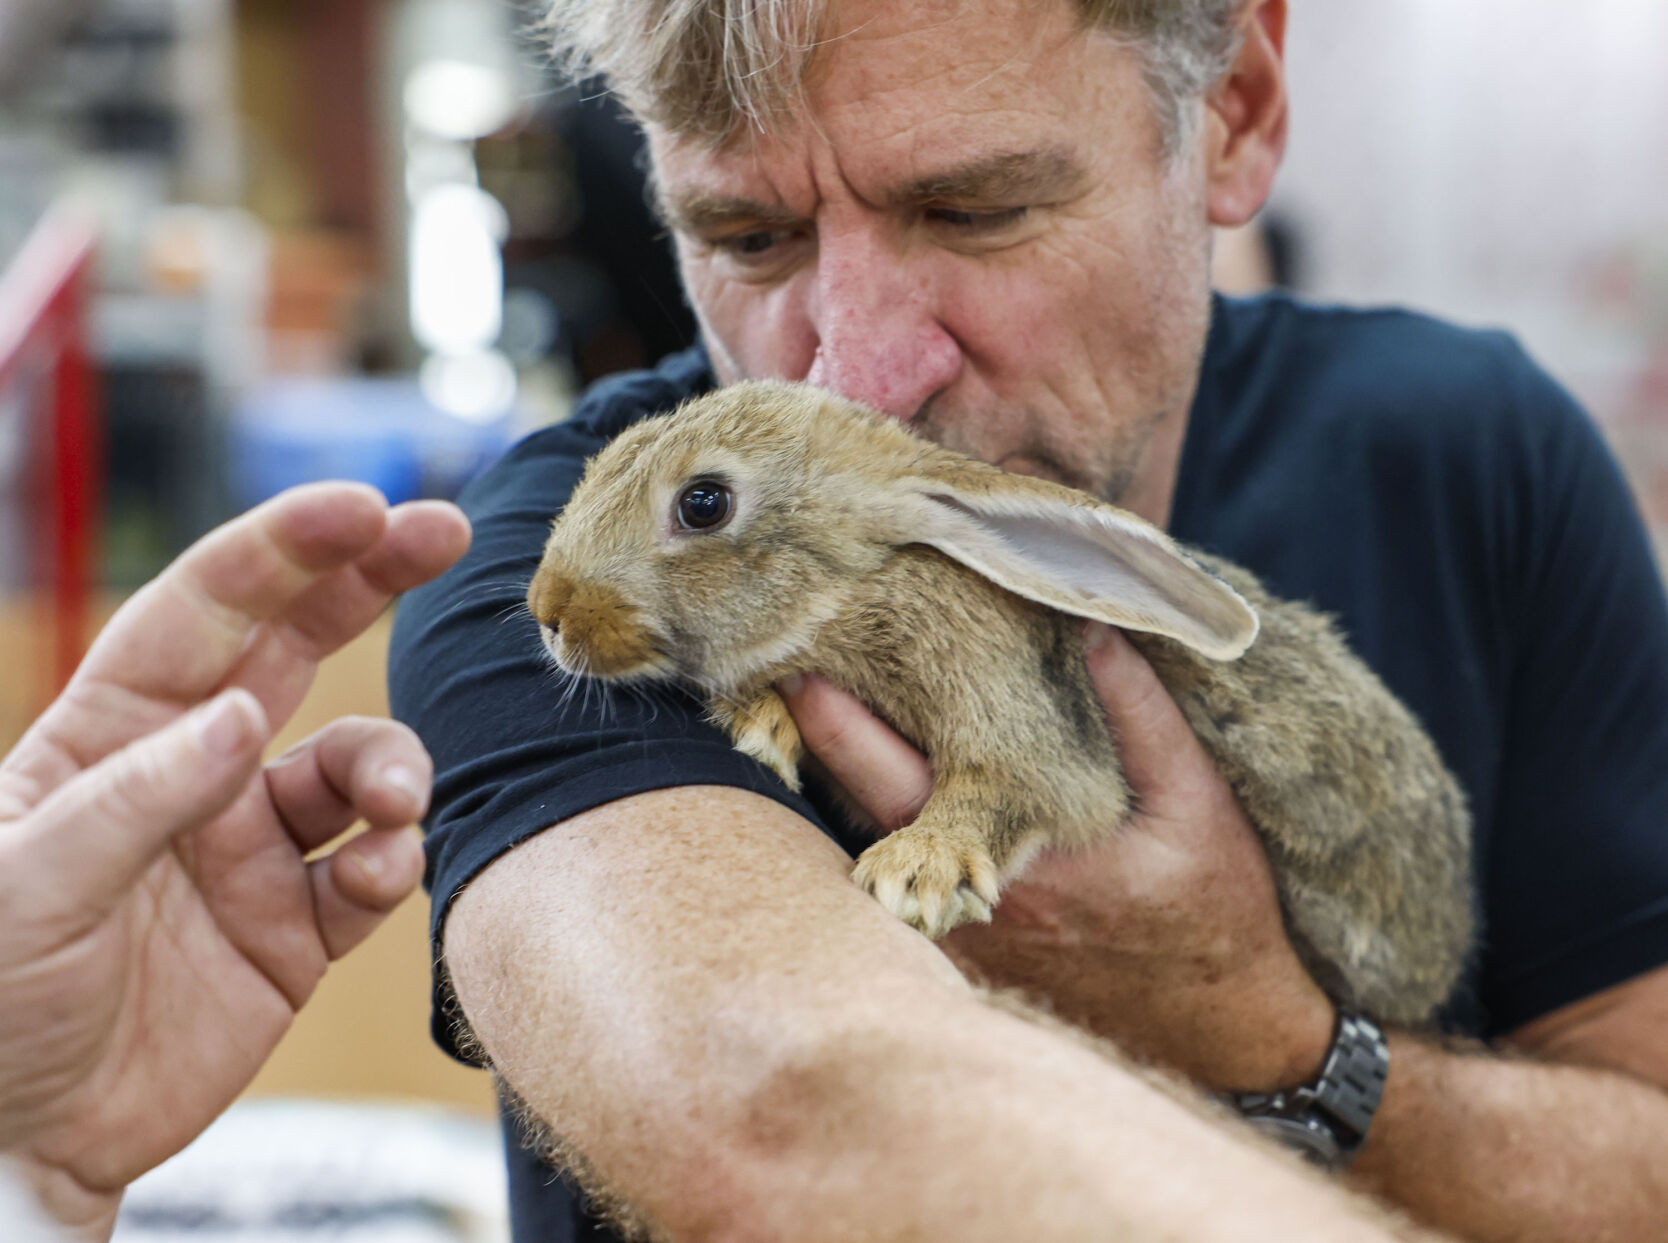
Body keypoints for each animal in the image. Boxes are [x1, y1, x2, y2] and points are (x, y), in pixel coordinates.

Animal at [526, 380, 1474, 1026]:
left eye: (704, 502)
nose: (549, 609)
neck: (858, 590)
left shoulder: (1035, 729)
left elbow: (1021, 787)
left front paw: (919, 871)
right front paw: (760, 723)